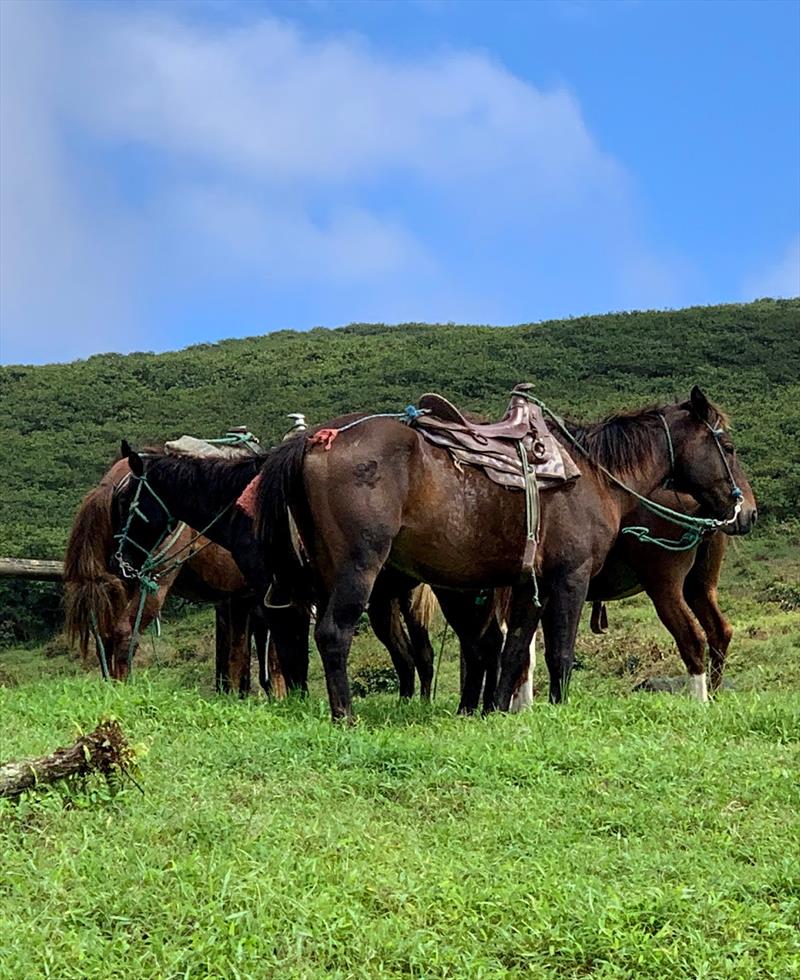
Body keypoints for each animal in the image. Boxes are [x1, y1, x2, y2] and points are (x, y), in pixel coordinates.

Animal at [252, 384, 756, 720]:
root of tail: (317, 439)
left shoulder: (526, 585)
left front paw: (497, 711)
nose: (747, 512)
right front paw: (555, 708)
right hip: (359, 569)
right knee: (333, 634)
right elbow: (558, 652)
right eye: (729, 446)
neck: (593, 474)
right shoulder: (569, 579)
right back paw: (346, 716)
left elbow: (511, 651)